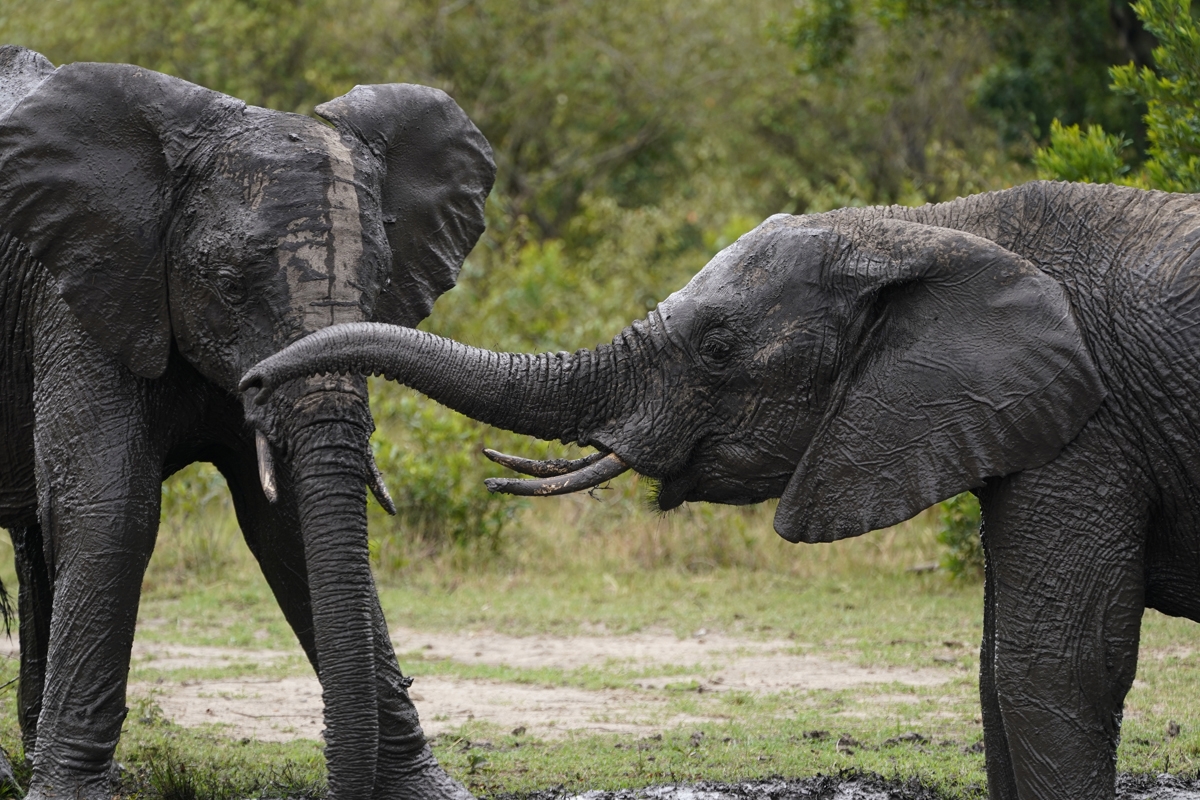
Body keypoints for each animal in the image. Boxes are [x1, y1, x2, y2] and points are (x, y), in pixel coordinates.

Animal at [0, 48, 492, 800]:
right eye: (230, 286)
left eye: (379, 286)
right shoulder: (83, 289)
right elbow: (112, 511)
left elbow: (287, 525)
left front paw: (428, 791)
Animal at [241, 181, 1200, 800]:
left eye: (717, 351)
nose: (250, 384)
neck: (933, 226)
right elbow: (999, 671)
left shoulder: (1092, 426)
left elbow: (1052, 664)